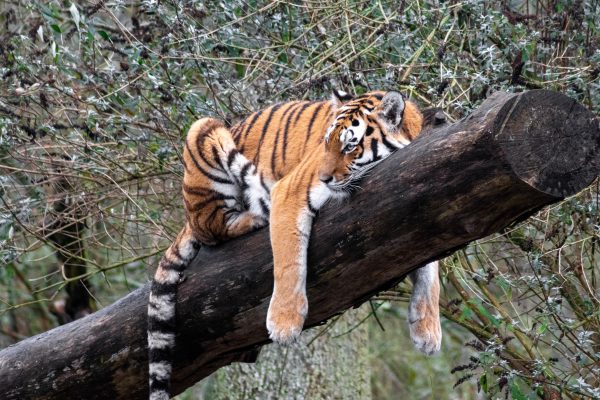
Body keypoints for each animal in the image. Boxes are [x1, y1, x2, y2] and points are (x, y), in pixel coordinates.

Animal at [148, 90, 442, 400]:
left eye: (350, 146)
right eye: (326, 142)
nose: (323, 178)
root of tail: (187, 217)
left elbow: (430, 270)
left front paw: (428, 331)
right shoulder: (289, 192)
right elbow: (289, 262)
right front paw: (284, 325)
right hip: (204, 131)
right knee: (212, 228)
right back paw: (255, 217)